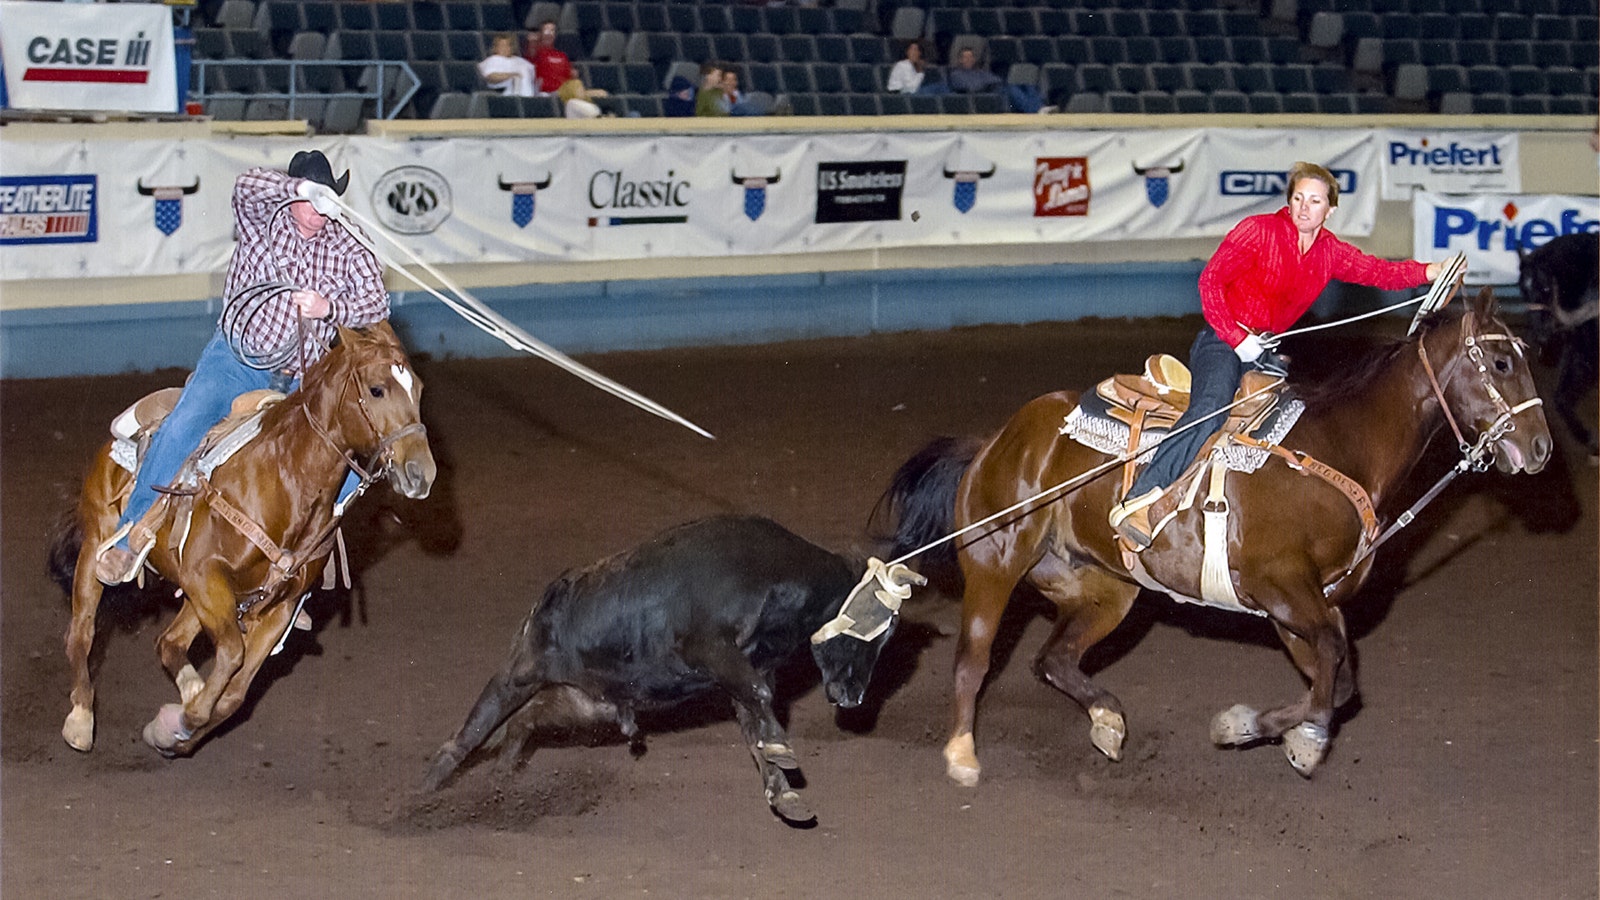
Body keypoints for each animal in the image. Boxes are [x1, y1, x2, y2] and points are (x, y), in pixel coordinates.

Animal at [60, 318, 438, 752]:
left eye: (419, 389)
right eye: (377, 389)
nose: (422, 474)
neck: (284, 480)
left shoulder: (277, 606)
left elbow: (234, 694)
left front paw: (176, 728)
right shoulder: (204, 577)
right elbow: (229, 655)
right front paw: (183, 717)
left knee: (169, 643)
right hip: (97, 544)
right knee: (82, 633)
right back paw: (80, 719)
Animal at [889, 291, 1548, 781]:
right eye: (1501, 364)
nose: (1541, 447)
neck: (1340, 448)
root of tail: (997, 440)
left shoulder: (1312, 604)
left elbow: (1338, 678)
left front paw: (1290, 735)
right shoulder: (1280, 587)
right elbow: (1331, 661)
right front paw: (1258, 729)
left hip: (1104, 589)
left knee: (1052, 658)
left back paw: (1108, 721)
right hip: (996, 562)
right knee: (973, 660)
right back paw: (962, 755)